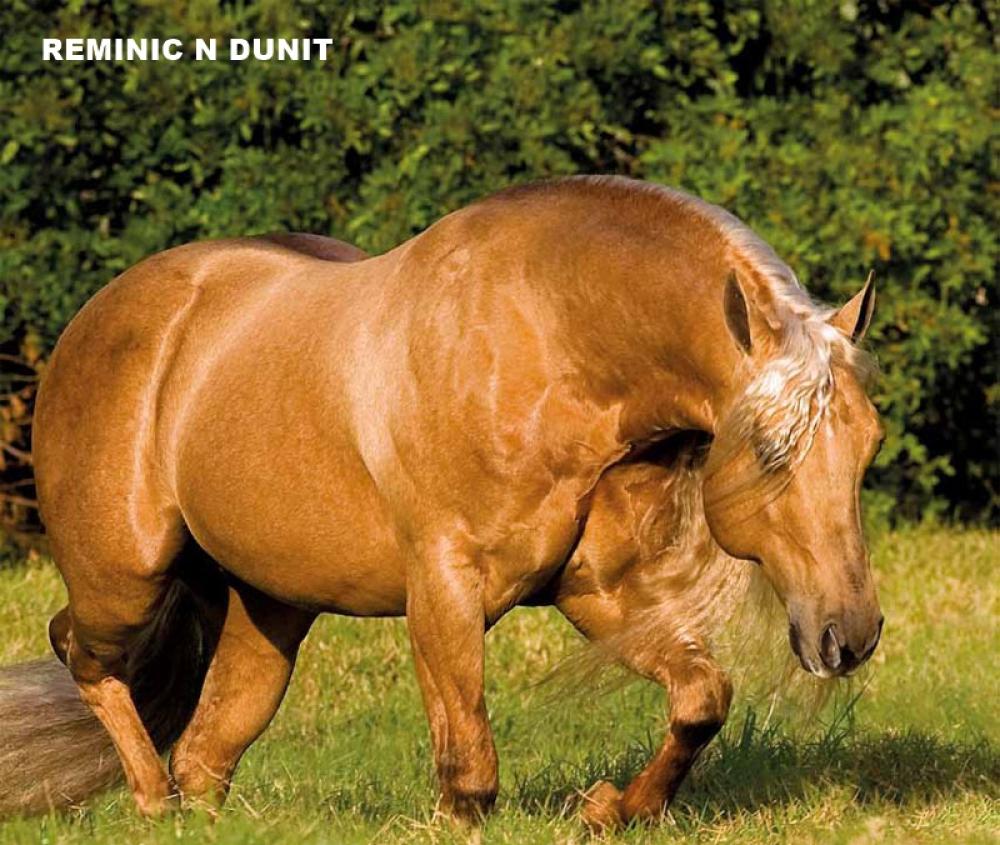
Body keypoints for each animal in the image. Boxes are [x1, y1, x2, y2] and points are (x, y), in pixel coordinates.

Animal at [0, 176, 884, 829]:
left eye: (870, 441)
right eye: (768, 448)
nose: (850, 633)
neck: (546, 343)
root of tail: (102, 316)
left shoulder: (598, 591)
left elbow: (701, 698)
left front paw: (609, 807)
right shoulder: (445, 588)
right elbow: (470, 778)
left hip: (269, 607)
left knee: (206, 755)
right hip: (125, 579)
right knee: (81, 653)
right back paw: (148, 799)